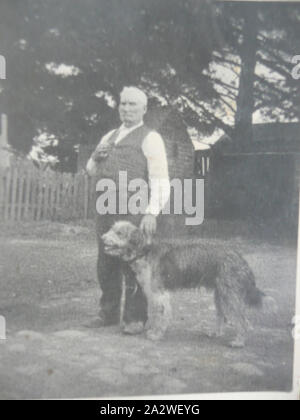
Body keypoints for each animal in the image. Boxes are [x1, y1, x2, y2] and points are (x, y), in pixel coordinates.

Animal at [102, 220, 272, 348]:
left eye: (119, 233)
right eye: (111, 229)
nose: (102, 238)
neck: (144, 251)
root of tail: (239, 257)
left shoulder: (159, 294)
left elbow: (161, 315)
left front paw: (156, 334)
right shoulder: (153, 294)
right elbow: (156, 314)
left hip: (230, 296)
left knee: (243, 321)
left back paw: (238, 342)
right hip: (220, 295)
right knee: (221, 316)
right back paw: (215, 333)